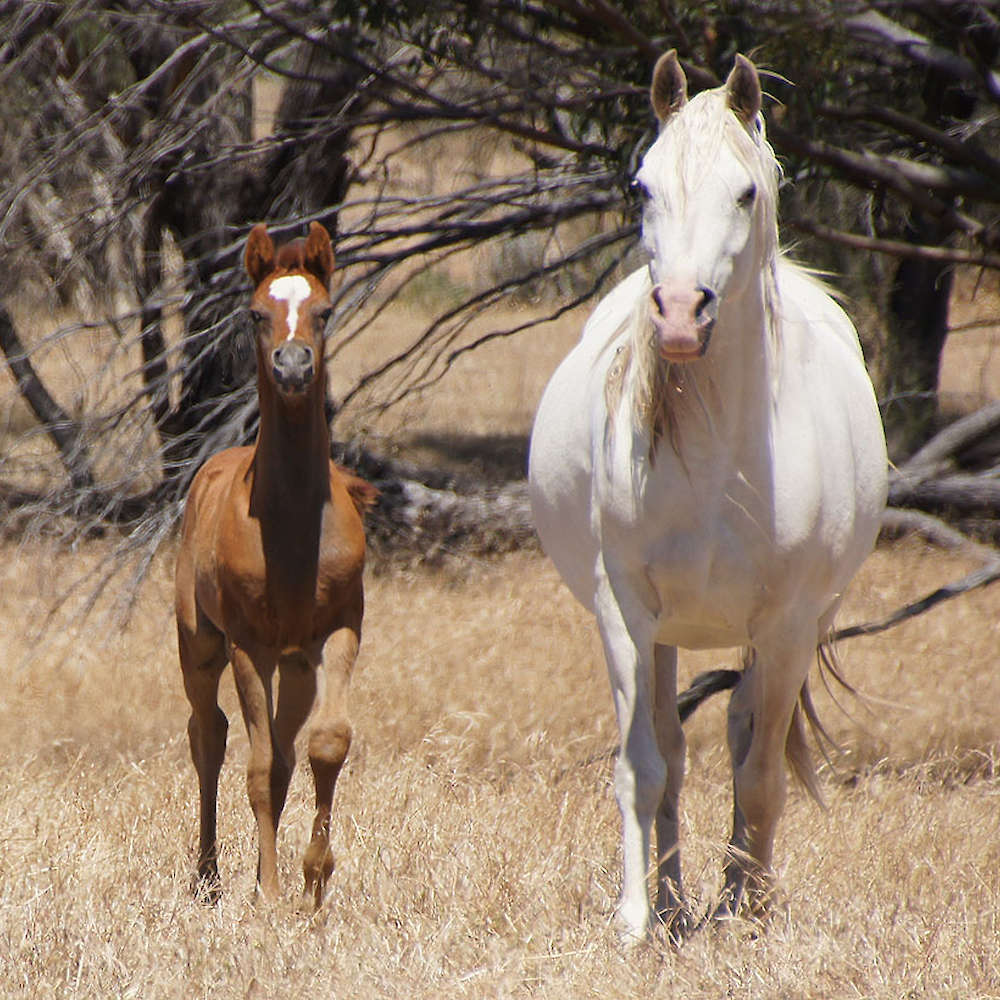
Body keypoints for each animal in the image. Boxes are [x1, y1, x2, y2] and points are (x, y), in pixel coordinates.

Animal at [174, 221, 377, 910]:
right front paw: (266, 894)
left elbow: (327, 744)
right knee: (207, 735)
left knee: (287, 751)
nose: (293, 366)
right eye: (257, 314)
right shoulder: (250, 647)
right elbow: (257, 768)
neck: (291, 528)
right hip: (200, 644)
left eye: (325, 310)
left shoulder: (339, 632)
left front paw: (314, 882)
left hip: (296, 667)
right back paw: (207, 875)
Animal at [528, 52, 887, 942]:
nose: (682, 317)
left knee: (740, 733)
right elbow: (644, 766)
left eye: (746, 192)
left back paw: (729, 895)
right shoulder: (625, 610)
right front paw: (636, 918)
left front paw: (747, 915)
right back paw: (674, 899)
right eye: (641, 187)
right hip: (663, 635)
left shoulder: (788, 624)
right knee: (674, 745)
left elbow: (758, 775)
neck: (724, 456)